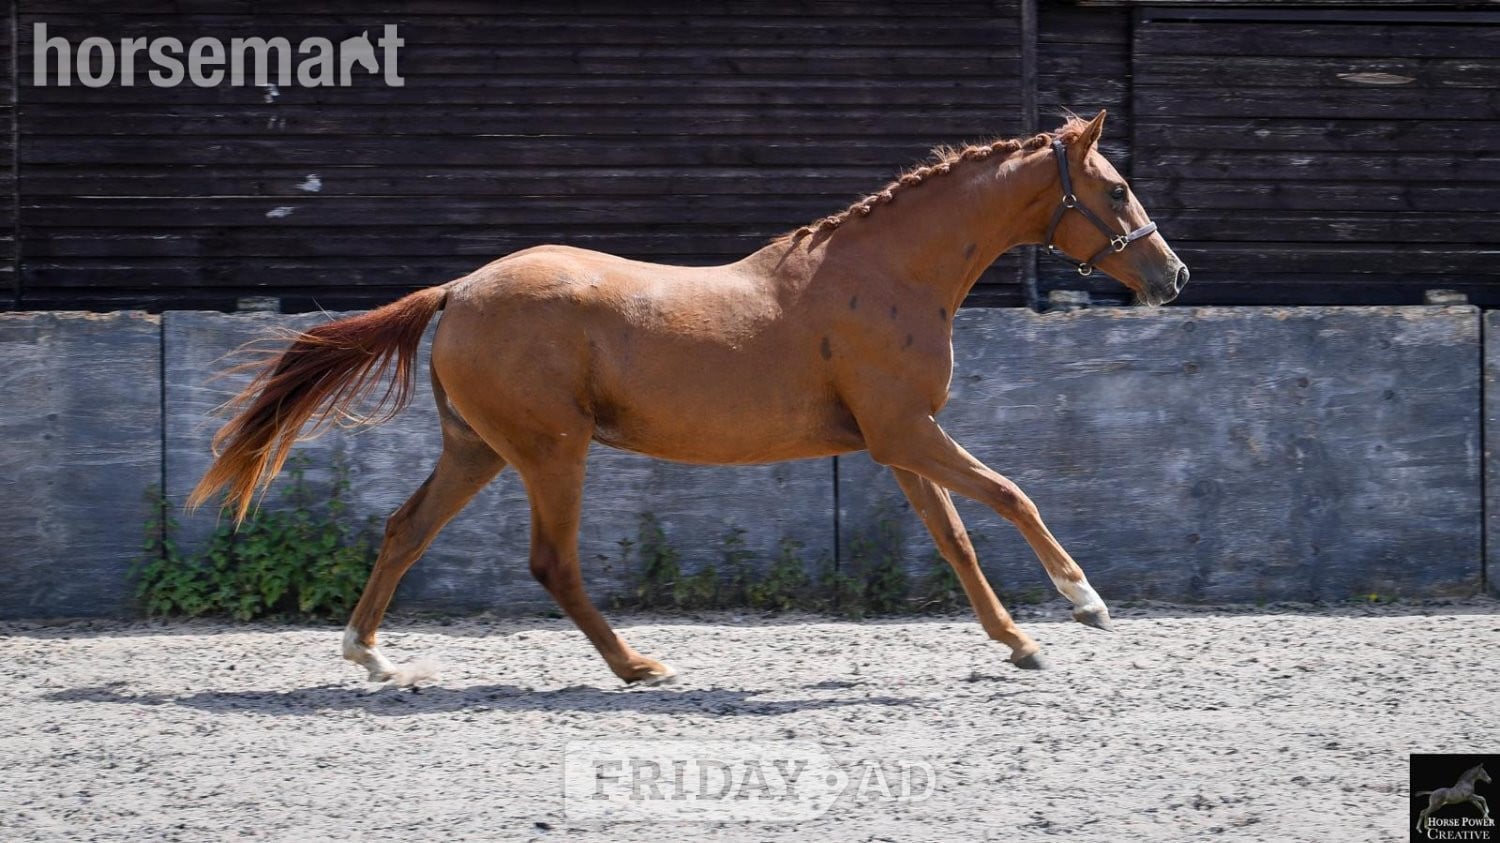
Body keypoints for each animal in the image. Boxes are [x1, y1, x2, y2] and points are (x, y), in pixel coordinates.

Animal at [190, 111, 1188, 686]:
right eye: (1115, 188)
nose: (1172, 275)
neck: (886, 275)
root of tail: (459, 291)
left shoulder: (898, 440)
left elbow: (956, 540)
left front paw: (1019, 641)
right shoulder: (907, 430)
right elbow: (1011, 495)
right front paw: (1084, 601)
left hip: (478, 447)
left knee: (405, 528)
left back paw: (372, 657)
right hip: (551, 449)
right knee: (552, 562)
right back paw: (641, 665)